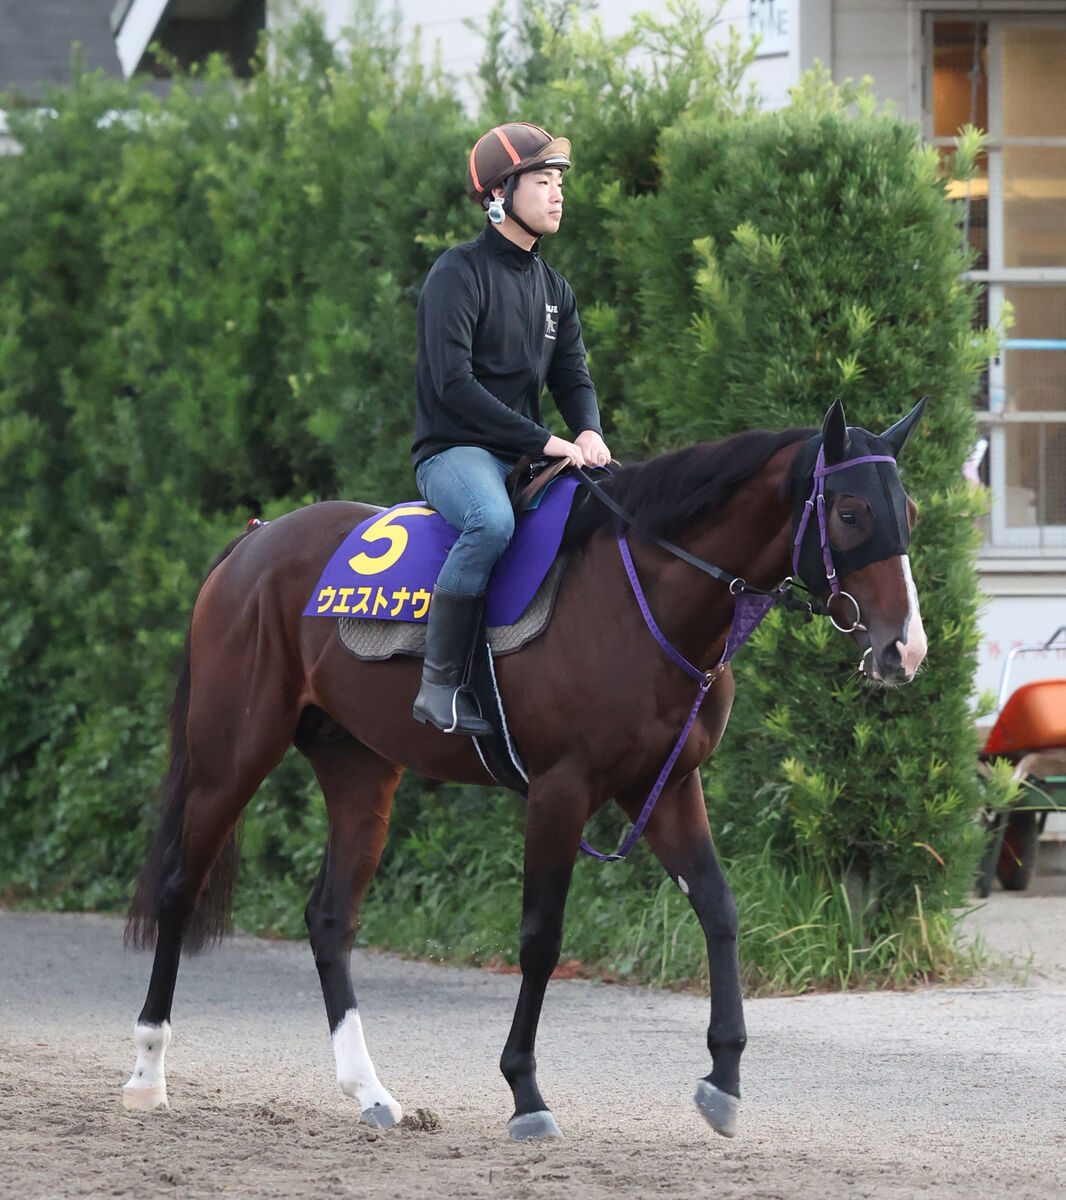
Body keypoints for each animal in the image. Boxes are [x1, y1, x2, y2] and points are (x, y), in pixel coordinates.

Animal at [123, 398, 926, 1137]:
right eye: (850, 512)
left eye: (909, 511)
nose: (904, 649)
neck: (639, 596)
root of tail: (253, 545)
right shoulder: (560, 790)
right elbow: (541, 938)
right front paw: (526, 1092)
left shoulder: (665, 787)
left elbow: (720, 910)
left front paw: (723, 1080)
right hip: (231, 757)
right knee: (178, 889)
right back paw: (147, 1072)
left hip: (360, 770)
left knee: (329, 918)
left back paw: (369, 1091)